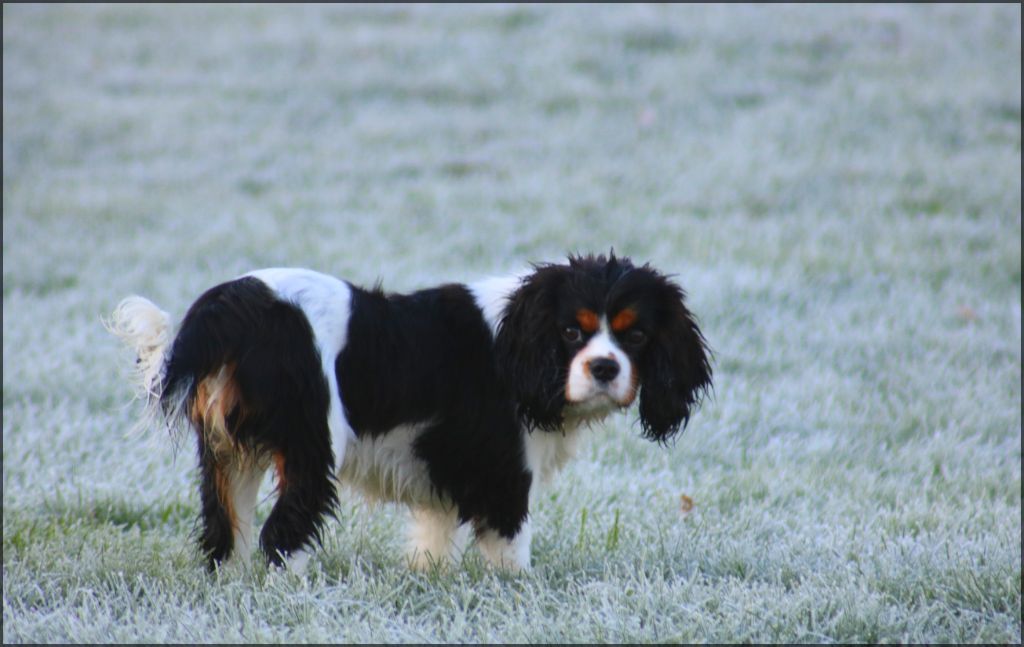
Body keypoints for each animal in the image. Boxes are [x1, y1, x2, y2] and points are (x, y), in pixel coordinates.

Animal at [105, 252, 712, 569]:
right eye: (571, 332)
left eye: (635, 336)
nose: (606, 368)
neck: (520, 340)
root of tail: (235, 306)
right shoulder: (504, 472)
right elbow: (510, 548)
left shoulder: (442, 471)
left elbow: (434, 535)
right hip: (311, 444)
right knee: (283, 534)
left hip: (228, 454)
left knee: (224, 532)